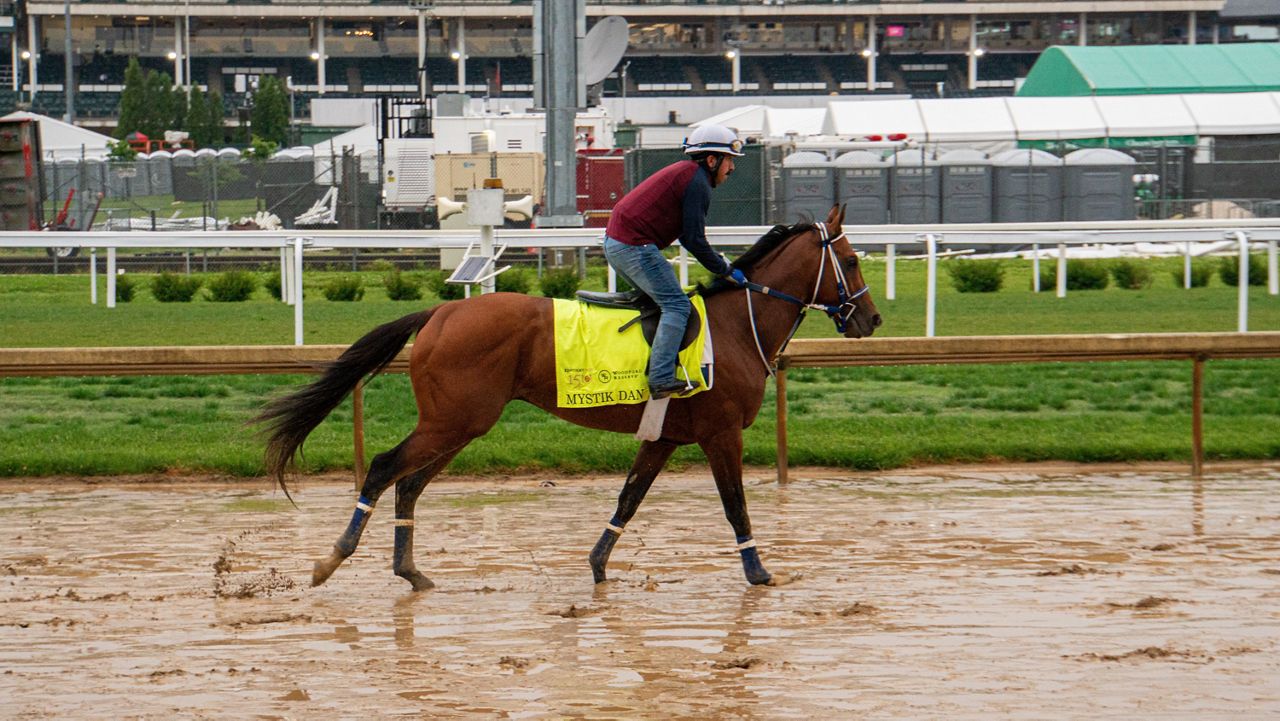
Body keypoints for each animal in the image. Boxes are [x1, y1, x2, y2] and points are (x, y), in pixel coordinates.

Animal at [259, 204, 880, 591]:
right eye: (851, 261)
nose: (870, 319)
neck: (734, 327)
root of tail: (440, 311)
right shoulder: (719, 433)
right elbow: (735, 506)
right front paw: (759, 572)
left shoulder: (666, 437)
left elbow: (629, 499)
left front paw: (599, 565)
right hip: (454, 422)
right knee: (386, 467)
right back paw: (334, 557)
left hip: (459, 425)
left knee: (408, 483)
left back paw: (410, 571)